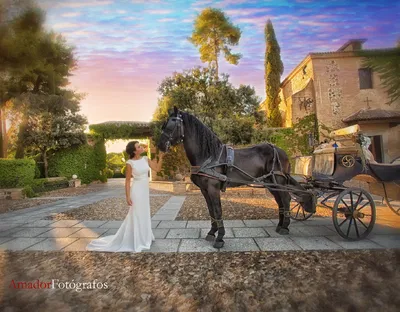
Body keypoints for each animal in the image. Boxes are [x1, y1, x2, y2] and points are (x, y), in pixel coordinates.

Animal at [157, 107, 316, 249]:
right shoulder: (204, 190)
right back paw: (280, 225)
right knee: (280, 201)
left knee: (286, 199)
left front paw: (220, 238)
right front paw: (212, 233)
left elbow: (217, 211)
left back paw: (285, 227)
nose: (160, 145)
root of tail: (280, 151)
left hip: (279, 181)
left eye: (171, 124)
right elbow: (211, 211)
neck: (209, 155)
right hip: (270, 183)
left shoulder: (213, 189)